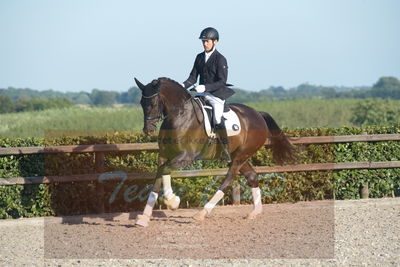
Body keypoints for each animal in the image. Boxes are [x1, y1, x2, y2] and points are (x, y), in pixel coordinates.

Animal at [134, 77, 294, 228]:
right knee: (252, 176)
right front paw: (144, 218)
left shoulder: (186, 157)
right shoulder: (164, 155)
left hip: (241, 155)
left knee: (229, 180)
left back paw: (202, 213)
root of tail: (258, 115)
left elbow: (165, 170)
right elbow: (160, 175)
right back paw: (255, 212)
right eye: (141, 103)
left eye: (153, 103)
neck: (180, 116)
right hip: (239, 156)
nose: (148, 130)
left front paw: (173, 202)